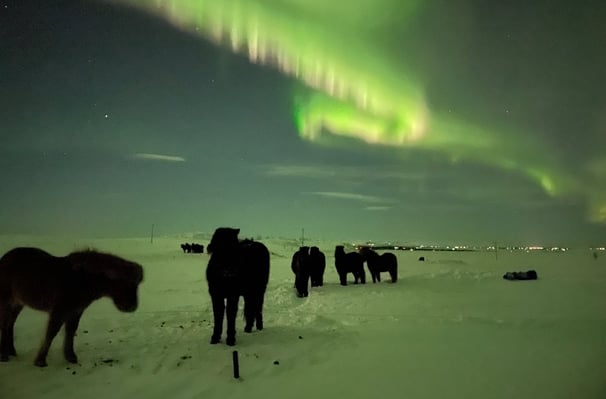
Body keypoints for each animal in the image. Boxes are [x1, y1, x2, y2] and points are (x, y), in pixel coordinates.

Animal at [0, 248, 144, 368]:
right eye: (125, 283)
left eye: (136, 285)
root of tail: (4, 259)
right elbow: (51, 332)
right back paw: (4, 355)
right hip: (6, 301)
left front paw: (70, 357)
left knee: (10, 324)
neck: (83, 279)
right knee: (4, 324)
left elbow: (70, 331)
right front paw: (40, 360)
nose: (132, 307)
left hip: (18, 303)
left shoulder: (76, 311)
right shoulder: (59, 310)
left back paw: (11, 351)